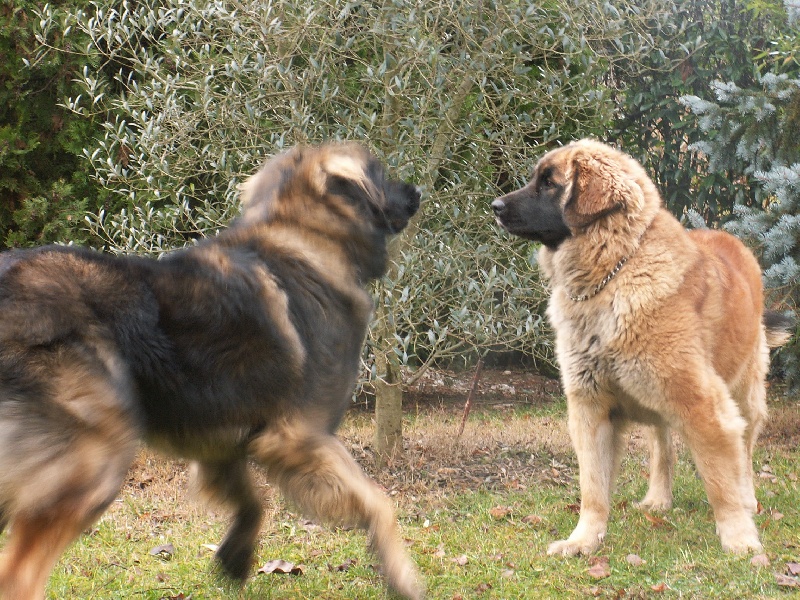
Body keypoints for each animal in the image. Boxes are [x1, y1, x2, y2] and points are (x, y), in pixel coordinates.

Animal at [494, 141, 792, 556]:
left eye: (550, 183)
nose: (495, 205)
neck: (613, 274)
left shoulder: (704, 405)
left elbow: (722, 481)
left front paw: (739, 538)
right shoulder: (590, 407)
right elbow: (592, 488)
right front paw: (583, 540)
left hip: (744, 391)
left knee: (745, 450)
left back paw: (748, 499)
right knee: (663, 445)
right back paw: (658, 499)